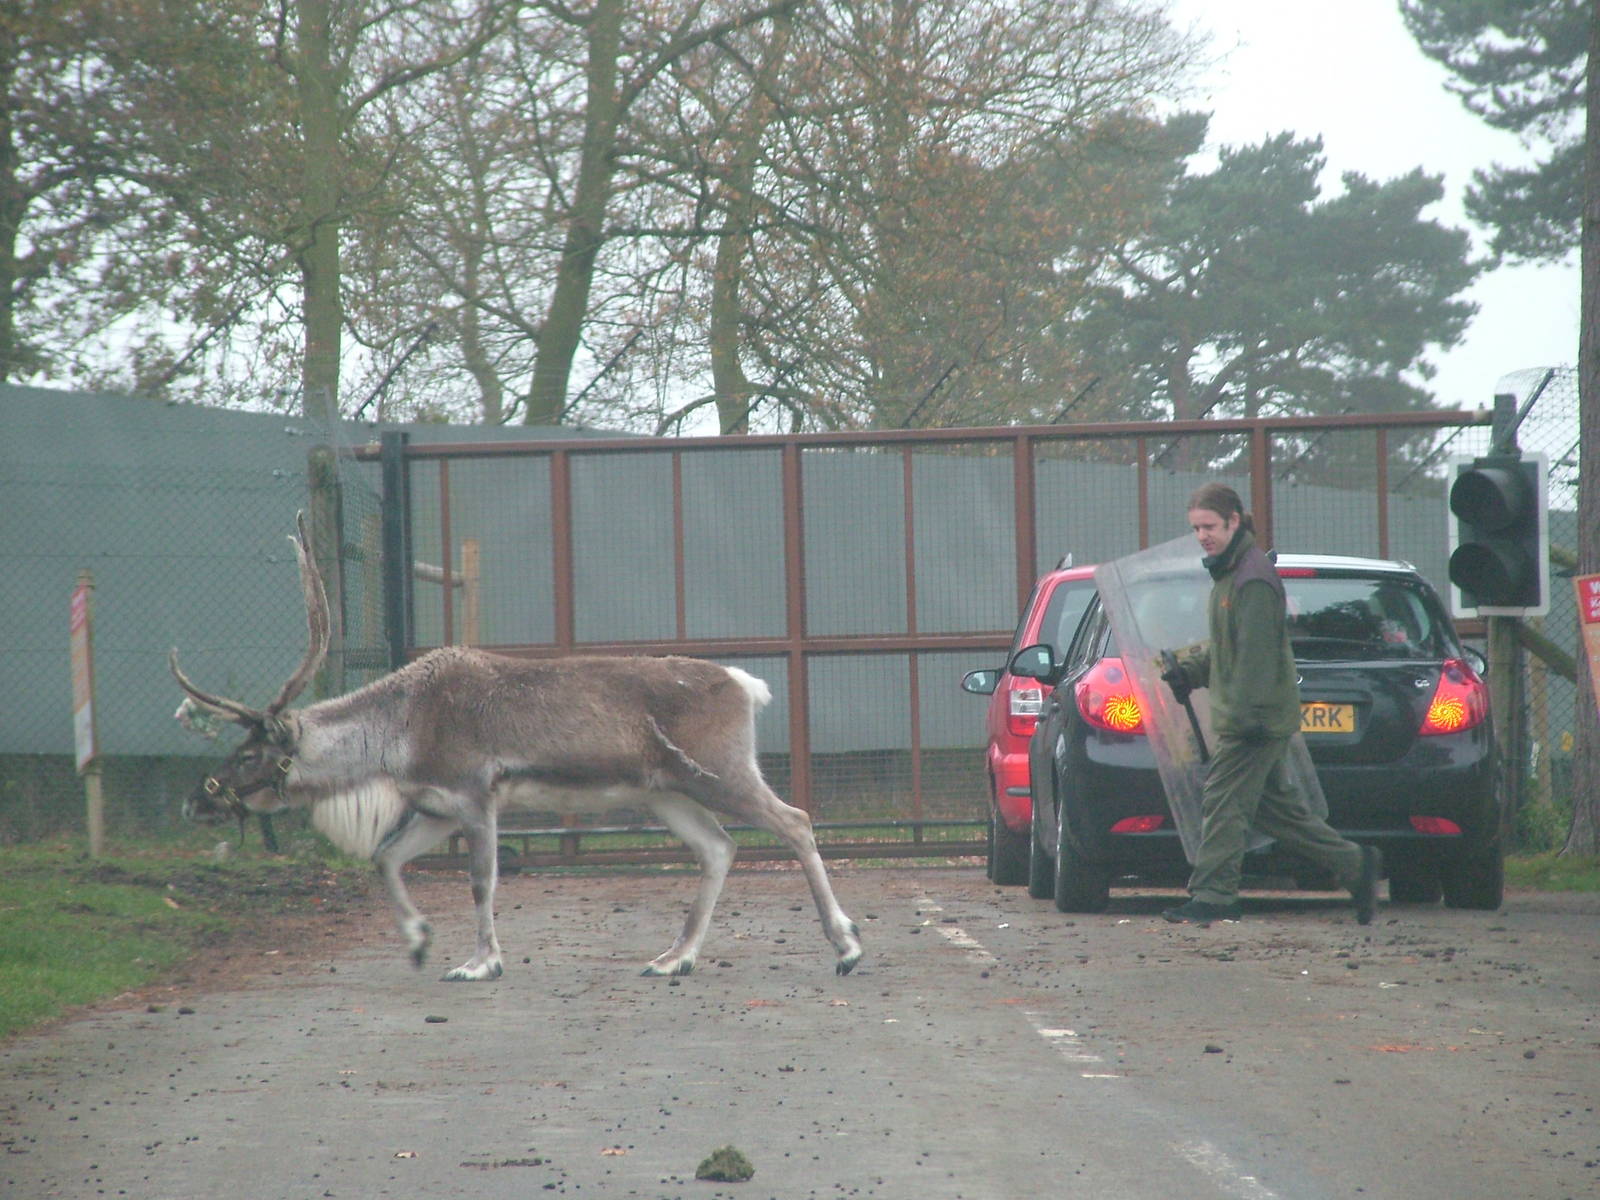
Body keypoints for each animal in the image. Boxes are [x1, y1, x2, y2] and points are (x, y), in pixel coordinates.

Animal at [172, 515, 863, 981]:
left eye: (250, 754)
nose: (195, 802)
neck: (396, 738)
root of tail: (748, 686)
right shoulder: (435, 807)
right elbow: (387, 859)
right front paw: (419, 940)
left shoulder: (476, 795)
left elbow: (482, 881)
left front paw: (480, 963)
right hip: (665, 793)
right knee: (719, 847)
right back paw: (673, 958)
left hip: (719, 770)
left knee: (795, 821)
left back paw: (847, 947)